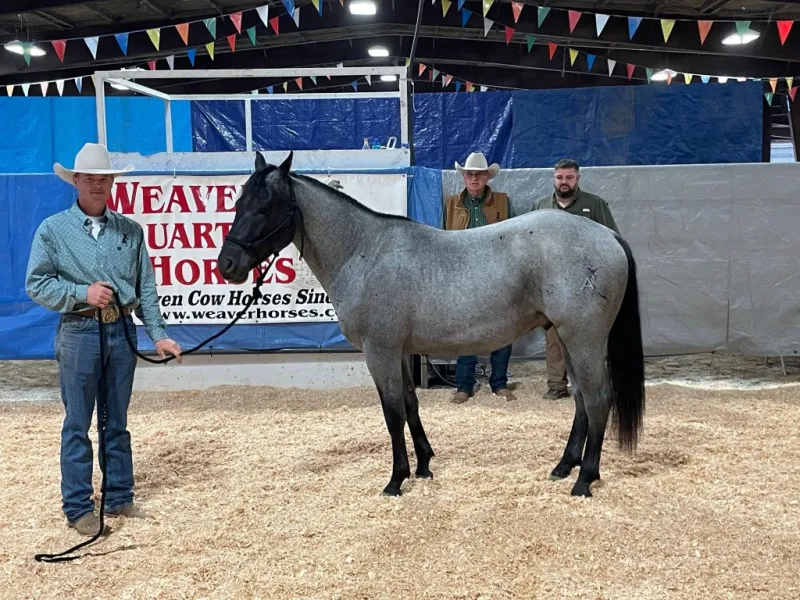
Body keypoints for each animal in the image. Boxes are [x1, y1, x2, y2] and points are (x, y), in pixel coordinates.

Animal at [217, 152, 645, 498]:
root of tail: (607, 234)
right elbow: (410, 404)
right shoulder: (400, 353)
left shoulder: (380, 352)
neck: (364, 251)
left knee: (598, 398)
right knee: (582, 400)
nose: (227, 265)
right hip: (567, 337)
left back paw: (584, 480)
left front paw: (395, 480)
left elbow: (392, 413)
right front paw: (423, 466)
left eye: (266, 207)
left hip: (583, 337)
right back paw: (564, 467)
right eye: (239, 202)